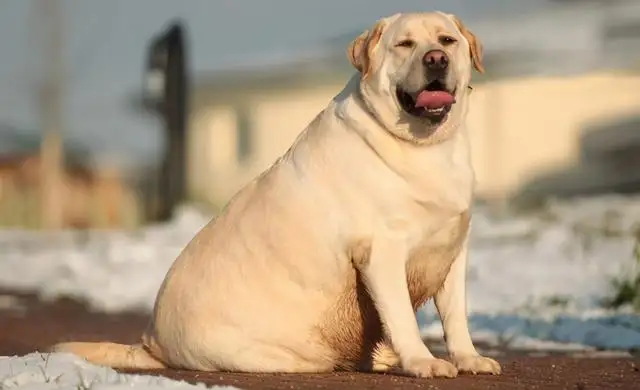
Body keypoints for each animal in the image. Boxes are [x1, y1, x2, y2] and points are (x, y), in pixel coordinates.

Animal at [51, 11, 500, 378]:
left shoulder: (452, 251)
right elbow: (403, 316)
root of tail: (151, 342)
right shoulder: (382, 252)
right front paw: (423, 362)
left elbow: (456, 316)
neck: (426, 147)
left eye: (446, 40)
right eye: (404, 44)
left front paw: (468, 358)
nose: (436, 60)